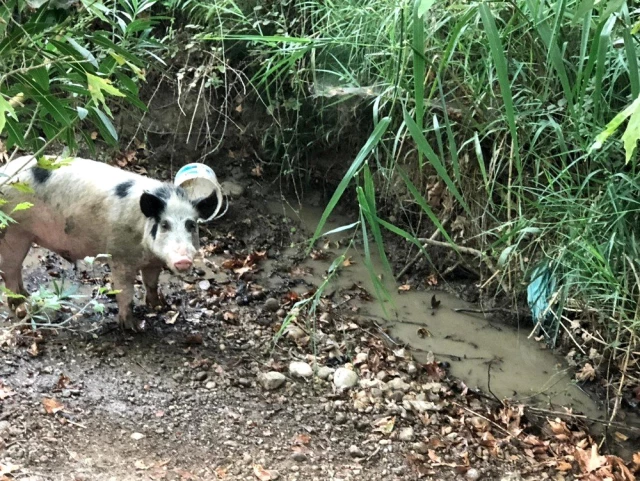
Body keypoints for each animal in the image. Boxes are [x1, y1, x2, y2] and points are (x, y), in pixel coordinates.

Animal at [0, 154, 225, 330]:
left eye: (191, 225)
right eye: (164, 224)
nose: (183, 260)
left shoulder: (152, 262)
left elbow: (151, 283)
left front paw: (160, 306)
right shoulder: (120, 257)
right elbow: (125, 291)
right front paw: (134, 327)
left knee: (15, 269)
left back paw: (26, 295)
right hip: (14, 232)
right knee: (9, 270)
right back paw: (21, 307)